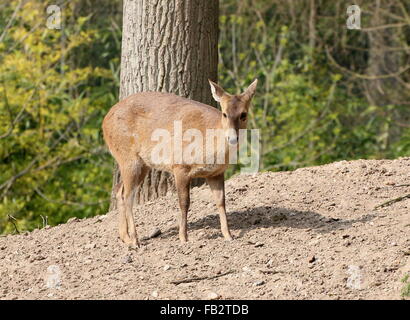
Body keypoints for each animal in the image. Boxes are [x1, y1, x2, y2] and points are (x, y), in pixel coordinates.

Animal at [102, 79, 256, 246]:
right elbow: (184, 202)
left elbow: (221, 201)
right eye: (224, 114)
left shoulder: (216, 172)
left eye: (243, 114)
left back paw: (125, 237)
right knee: (128, 195)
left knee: (119, 190)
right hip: (128, 157)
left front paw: (228, 235)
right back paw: (135, 240)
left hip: (142, 163)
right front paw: (183, 237)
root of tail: (105, 121)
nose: (233, 138)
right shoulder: (180, 166)